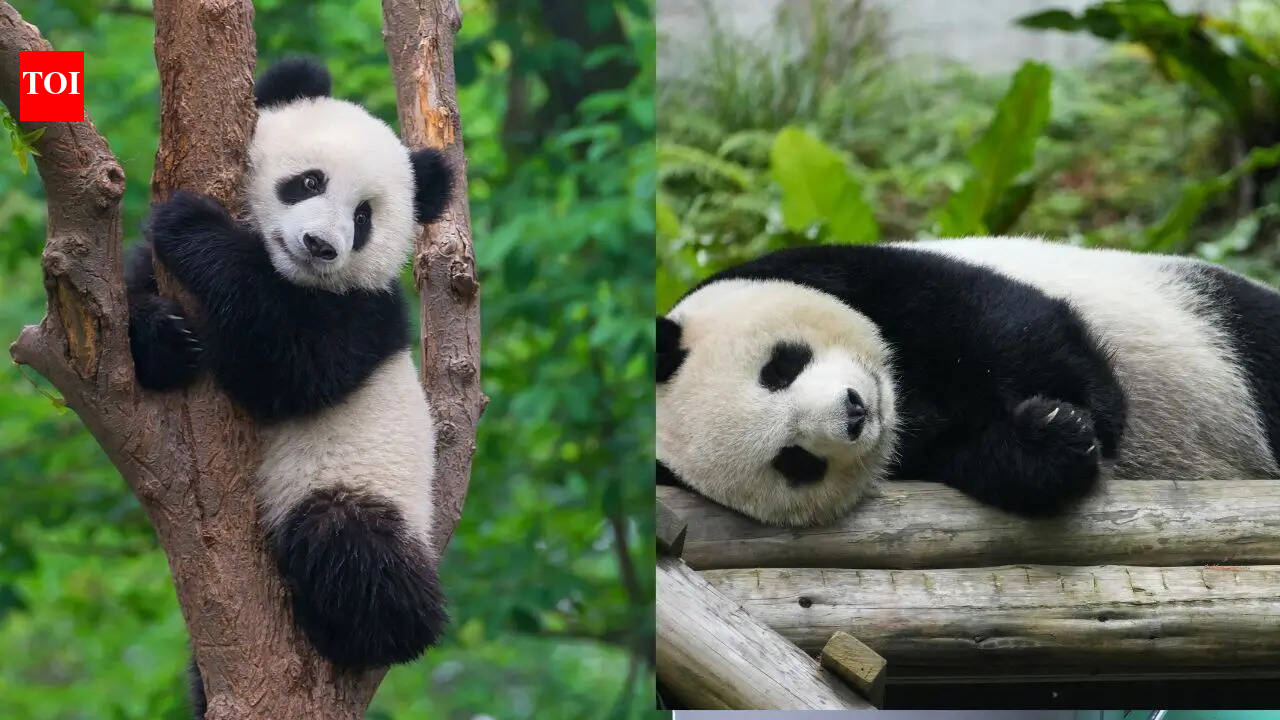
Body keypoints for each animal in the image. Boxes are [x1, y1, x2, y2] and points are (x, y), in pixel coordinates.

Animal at [125, 57, 451, 673]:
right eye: (309, 182)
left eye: (363, 217)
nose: (321, 245)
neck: (290, 275)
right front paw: (166, 337)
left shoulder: (366, 314)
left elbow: (290, 367)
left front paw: (192, 226)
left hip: (358, 483)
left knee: (352, 547)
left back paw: (365, 630)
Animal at [657, 238, 1280, 526]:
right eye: (794, 461)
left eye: (780, 367)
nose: (855, 412)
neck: (906, 398)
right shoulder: (918, 455)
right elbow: (983, 458)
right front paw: (1053, 437)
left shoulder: (848, 273)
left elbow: (1000, 321)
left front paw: (1089, 409)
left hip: (1211, 326)